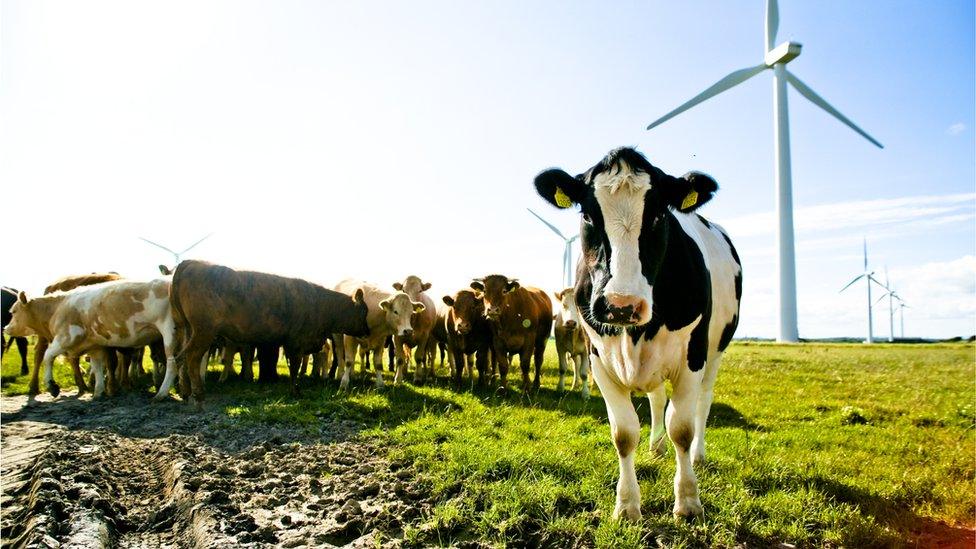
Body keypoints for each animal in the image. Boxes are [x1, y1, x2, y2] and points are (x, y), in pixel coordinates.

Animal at [4, 278, 181, 402]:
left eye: (13, 311)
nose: (5, 328)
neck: (58, 307)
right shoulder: (94, 346)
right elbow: (97, 366)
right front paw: (98, 392)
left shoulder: (66, 337)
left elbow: (48, 356)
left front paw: (52, 386)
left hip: (170, 333)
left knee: (173, 364)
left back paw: (161, 393)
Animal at [170, 260, 368, 404]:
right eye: (364, 311)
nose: (367, 330)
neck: (319, 303)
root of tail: (191, 263)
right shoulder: (295, 343)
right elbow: (294, 367)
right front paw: (295, 391)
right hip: (203, 332)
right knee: (191, 358)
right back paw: (198, 394)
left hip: (189, 330)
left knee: (180, 358)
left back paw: (185, 392)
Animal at [532, 146, 740, 520]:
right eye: (587, 214)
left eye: (659, 215)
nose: (621, 305)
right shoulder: (598, 360)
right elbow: (624, 433)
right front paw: (627, 505)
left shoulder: (692, 357)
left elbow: (682, 429)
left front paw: (688, 501)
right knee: (657, 399)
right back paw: (656, 446)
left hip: (715, 350)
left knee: (703, 402)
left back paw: (698, 455)